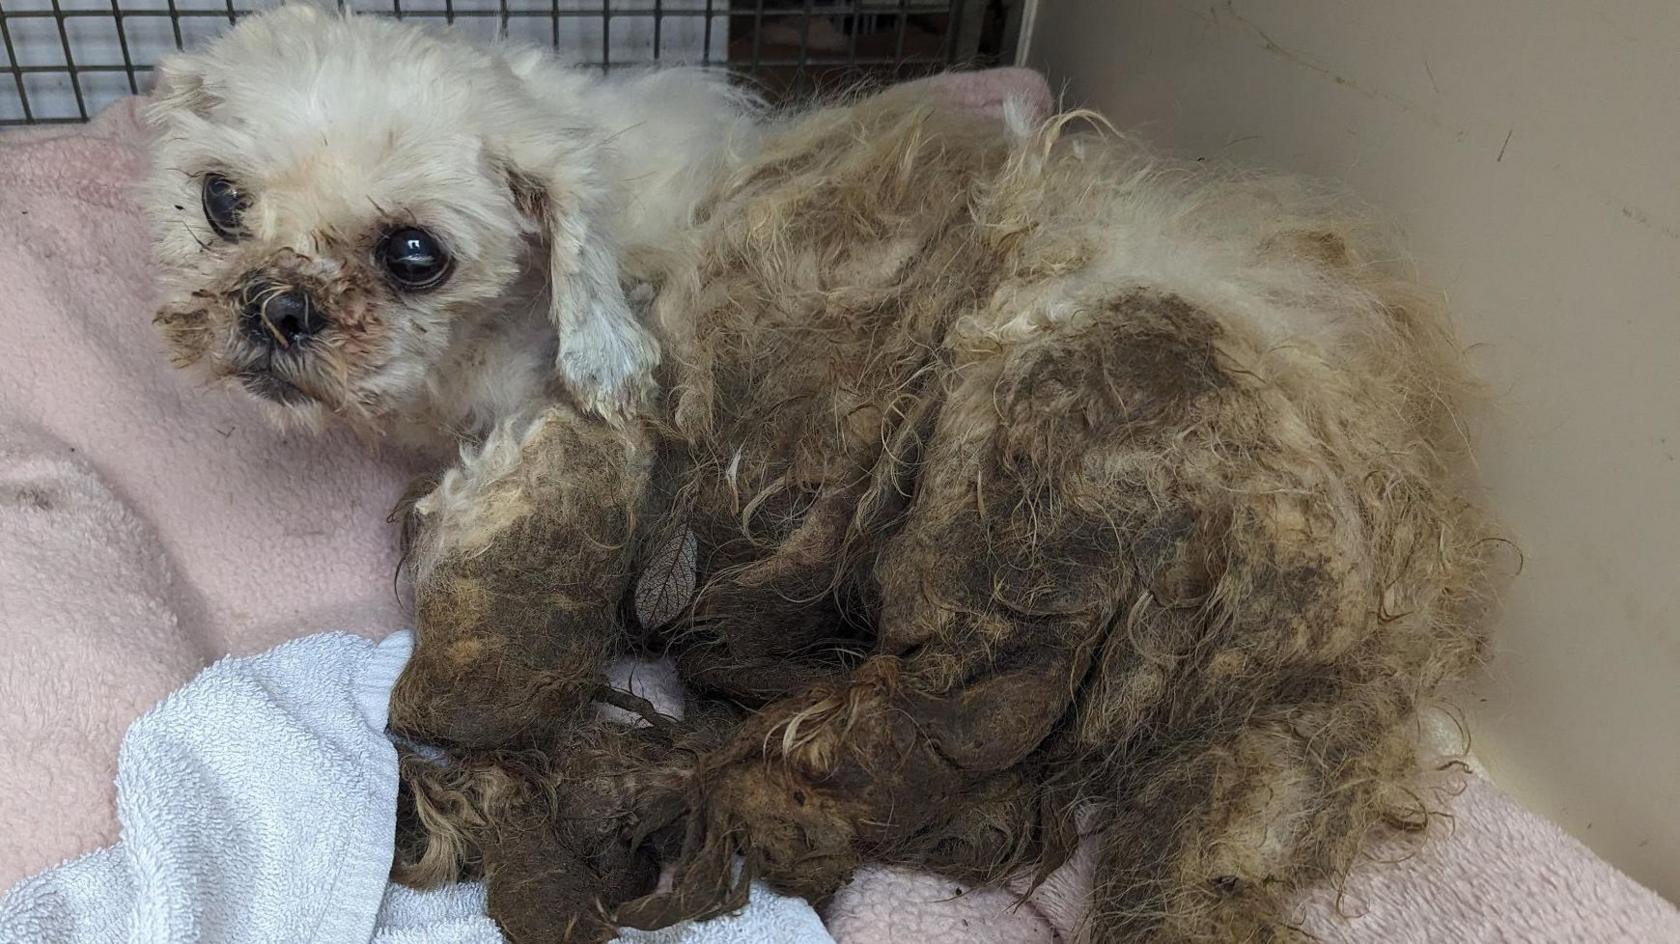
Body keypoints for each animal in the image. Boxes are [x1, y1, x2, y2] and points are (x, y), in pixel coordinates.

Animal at [151, 9, 1505, 940]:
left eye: (413, 252)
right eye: (220, 201)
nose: (273, 308)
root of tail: (1366, 629)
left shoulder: (544, 441)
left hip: (1018, 449)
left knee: (884, 742)